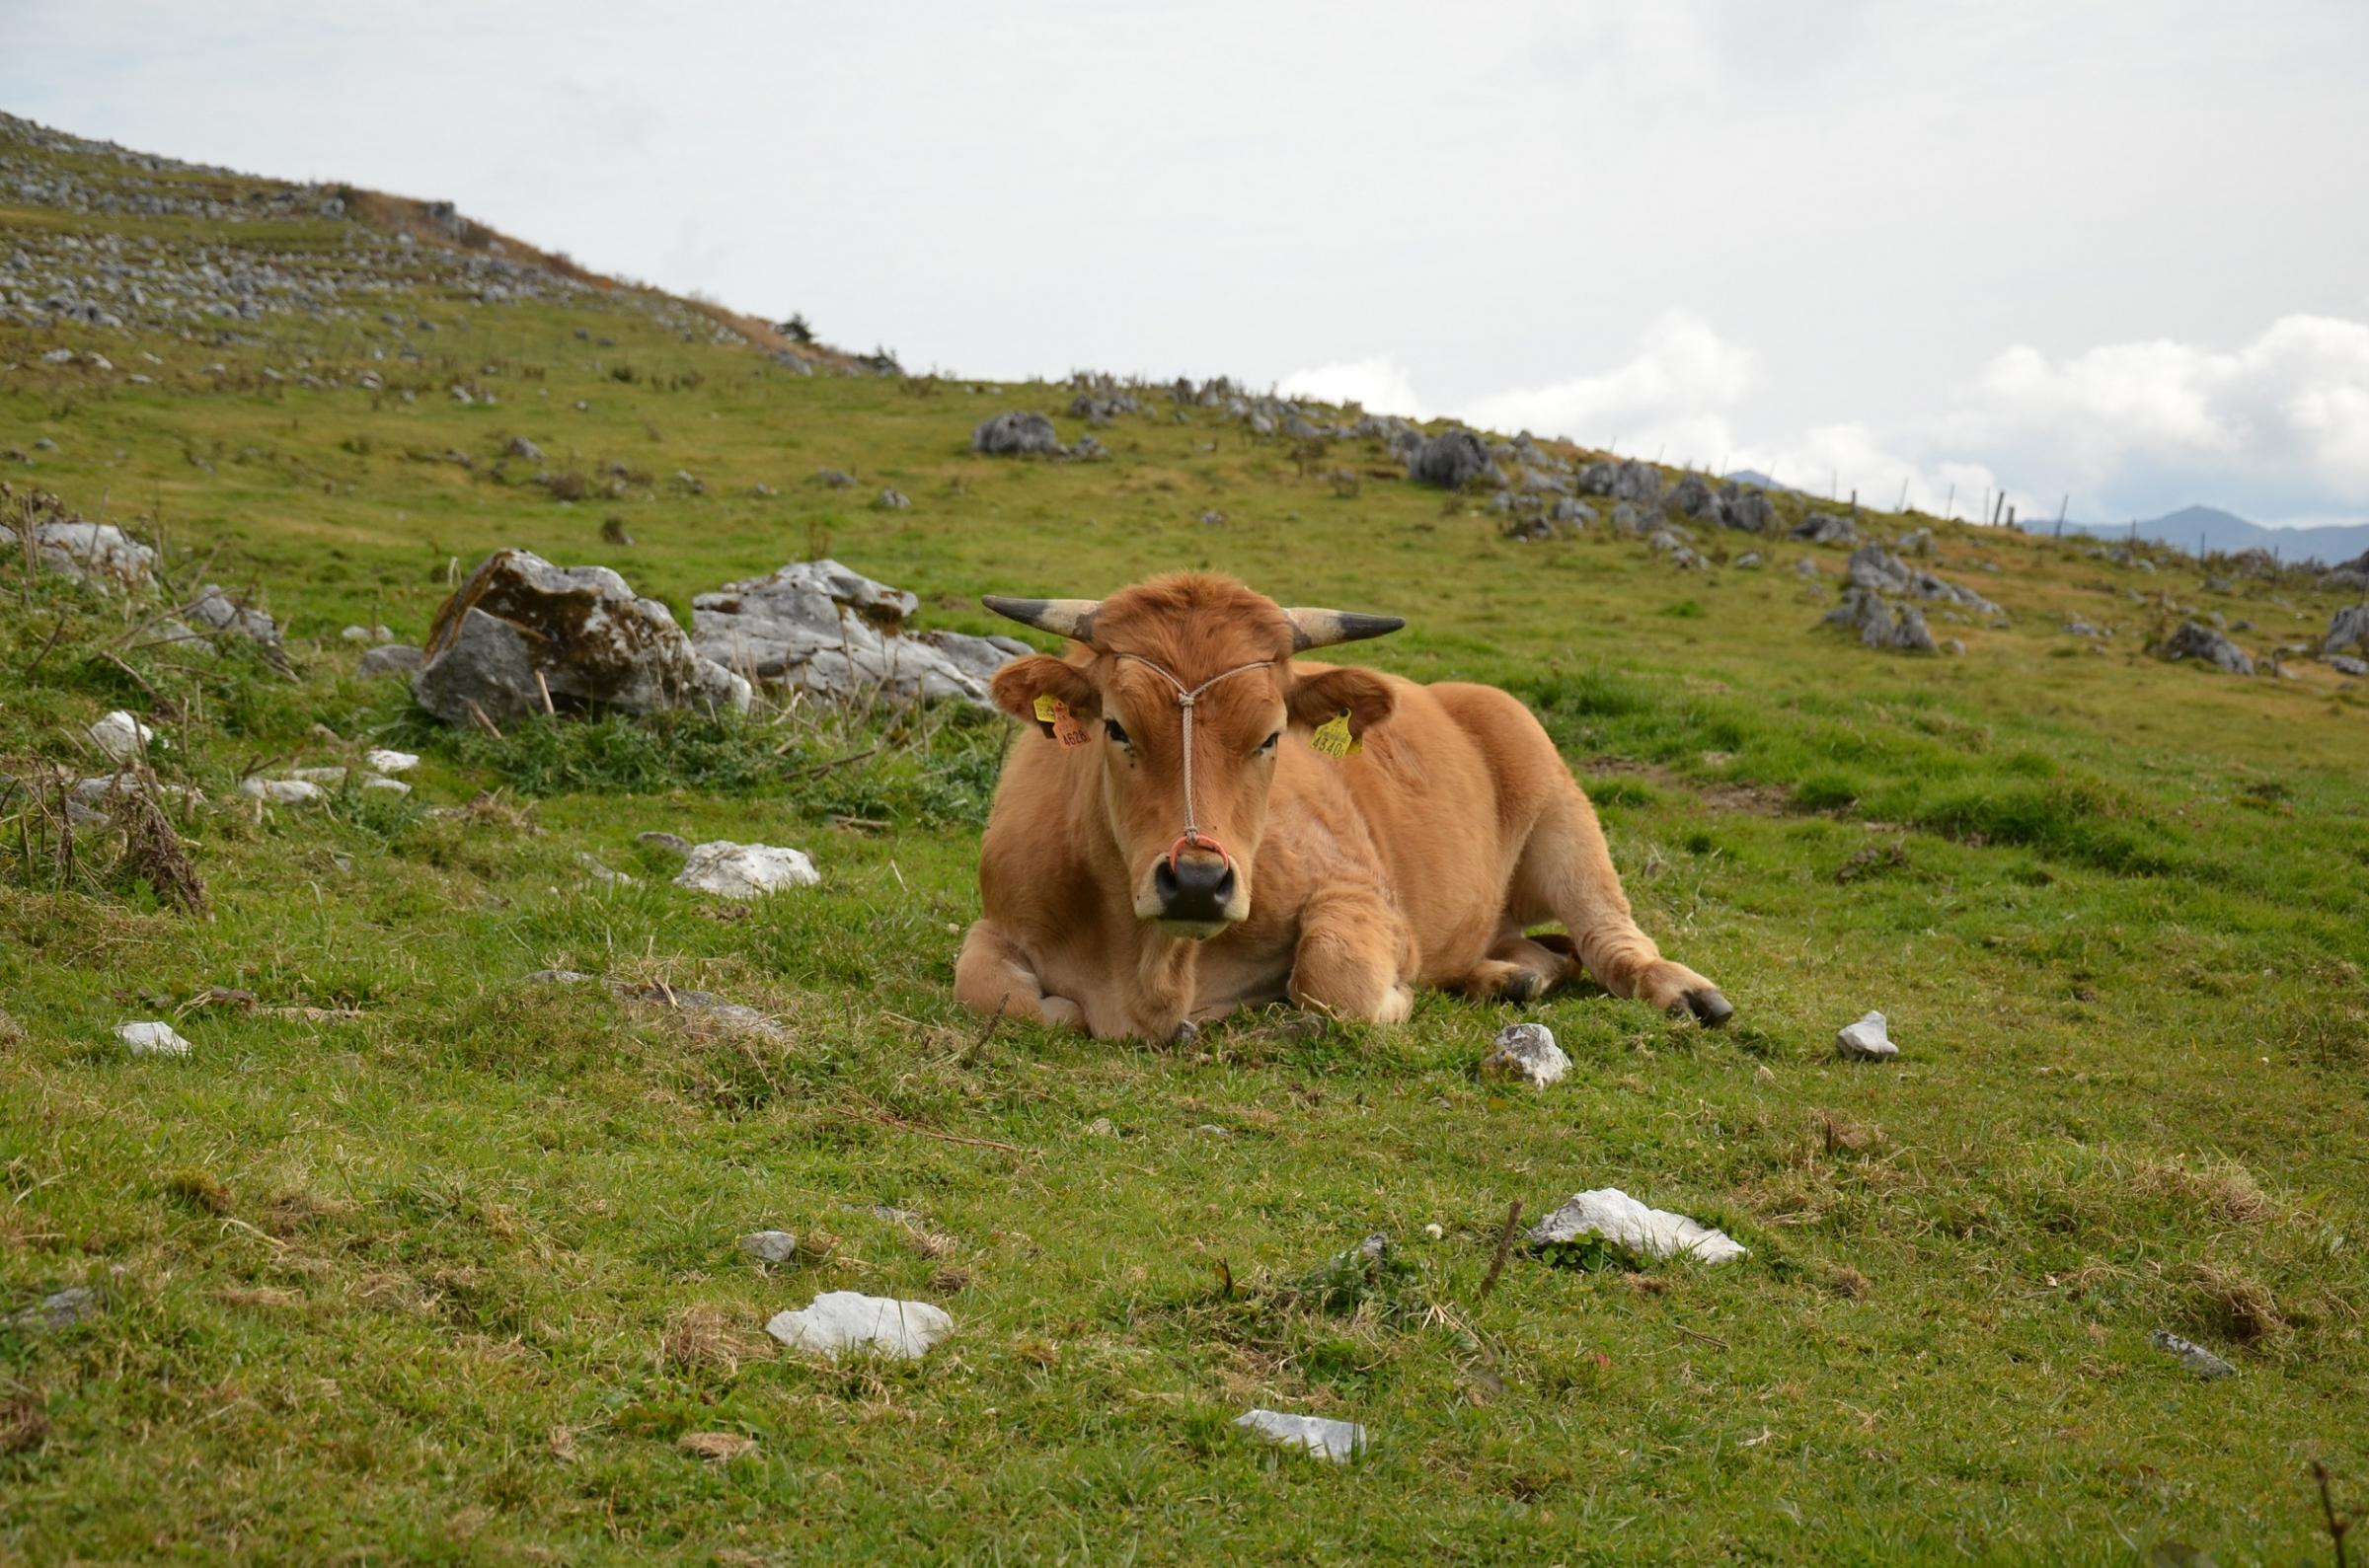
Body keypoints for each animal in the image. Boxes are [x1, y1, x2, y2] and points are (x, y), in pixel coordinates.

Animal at [952, 575, 1733, 1042]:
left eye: (1271, 736)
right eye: (1116, 727)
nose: (1199, 882)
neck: (1147, 969)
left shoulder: (1363, 895)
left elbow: (1333, 978)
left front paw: (1392, 1000)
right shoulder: (1002, 916)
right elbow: (991, 988)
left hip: (1566, 822)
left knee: (1611, 940)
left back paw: (1685, 994)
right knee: (1537, 950)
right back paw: (1507, 976)